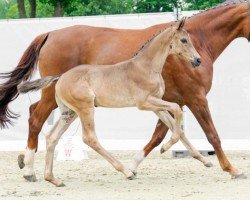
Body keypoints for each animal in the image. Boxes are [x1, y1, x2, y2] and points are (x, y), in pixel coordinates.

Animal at [18, 18, 201, 186]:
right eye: (184, 40)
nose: (198, 60)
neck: (146, 67)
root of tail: (60, 77)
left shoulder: (156, 104)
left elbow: (175, 123)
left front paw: (201, 159)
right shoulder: (144, 103)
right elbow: (177, 109)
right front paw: (165, 147)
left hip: (69, 113)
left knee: (52, 137)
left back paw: (52, 179)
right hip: (85, 108)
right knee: (89, 138)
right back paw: (127, 172)